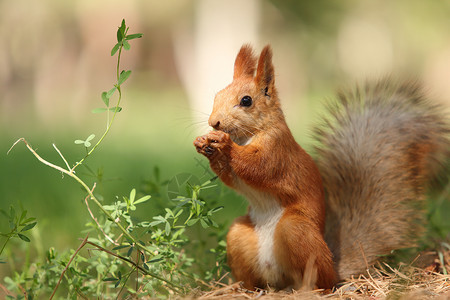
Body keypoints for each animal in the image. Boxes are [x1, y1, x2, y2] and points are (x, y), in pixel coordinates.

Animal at [192, 44, 450, 290]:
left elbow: (257, 167)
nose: (214, 122)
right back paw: (248, 289)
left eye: (246, 101)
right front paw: (204, 144)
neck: (249, 136)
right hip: (239, 236)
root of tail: (334, 267)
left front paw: (224, 145)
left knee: (321, 281)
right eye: (218, 95)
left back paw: (307, 289)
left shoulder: (278, 151)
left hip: (296, 232)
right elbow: (232, 177)